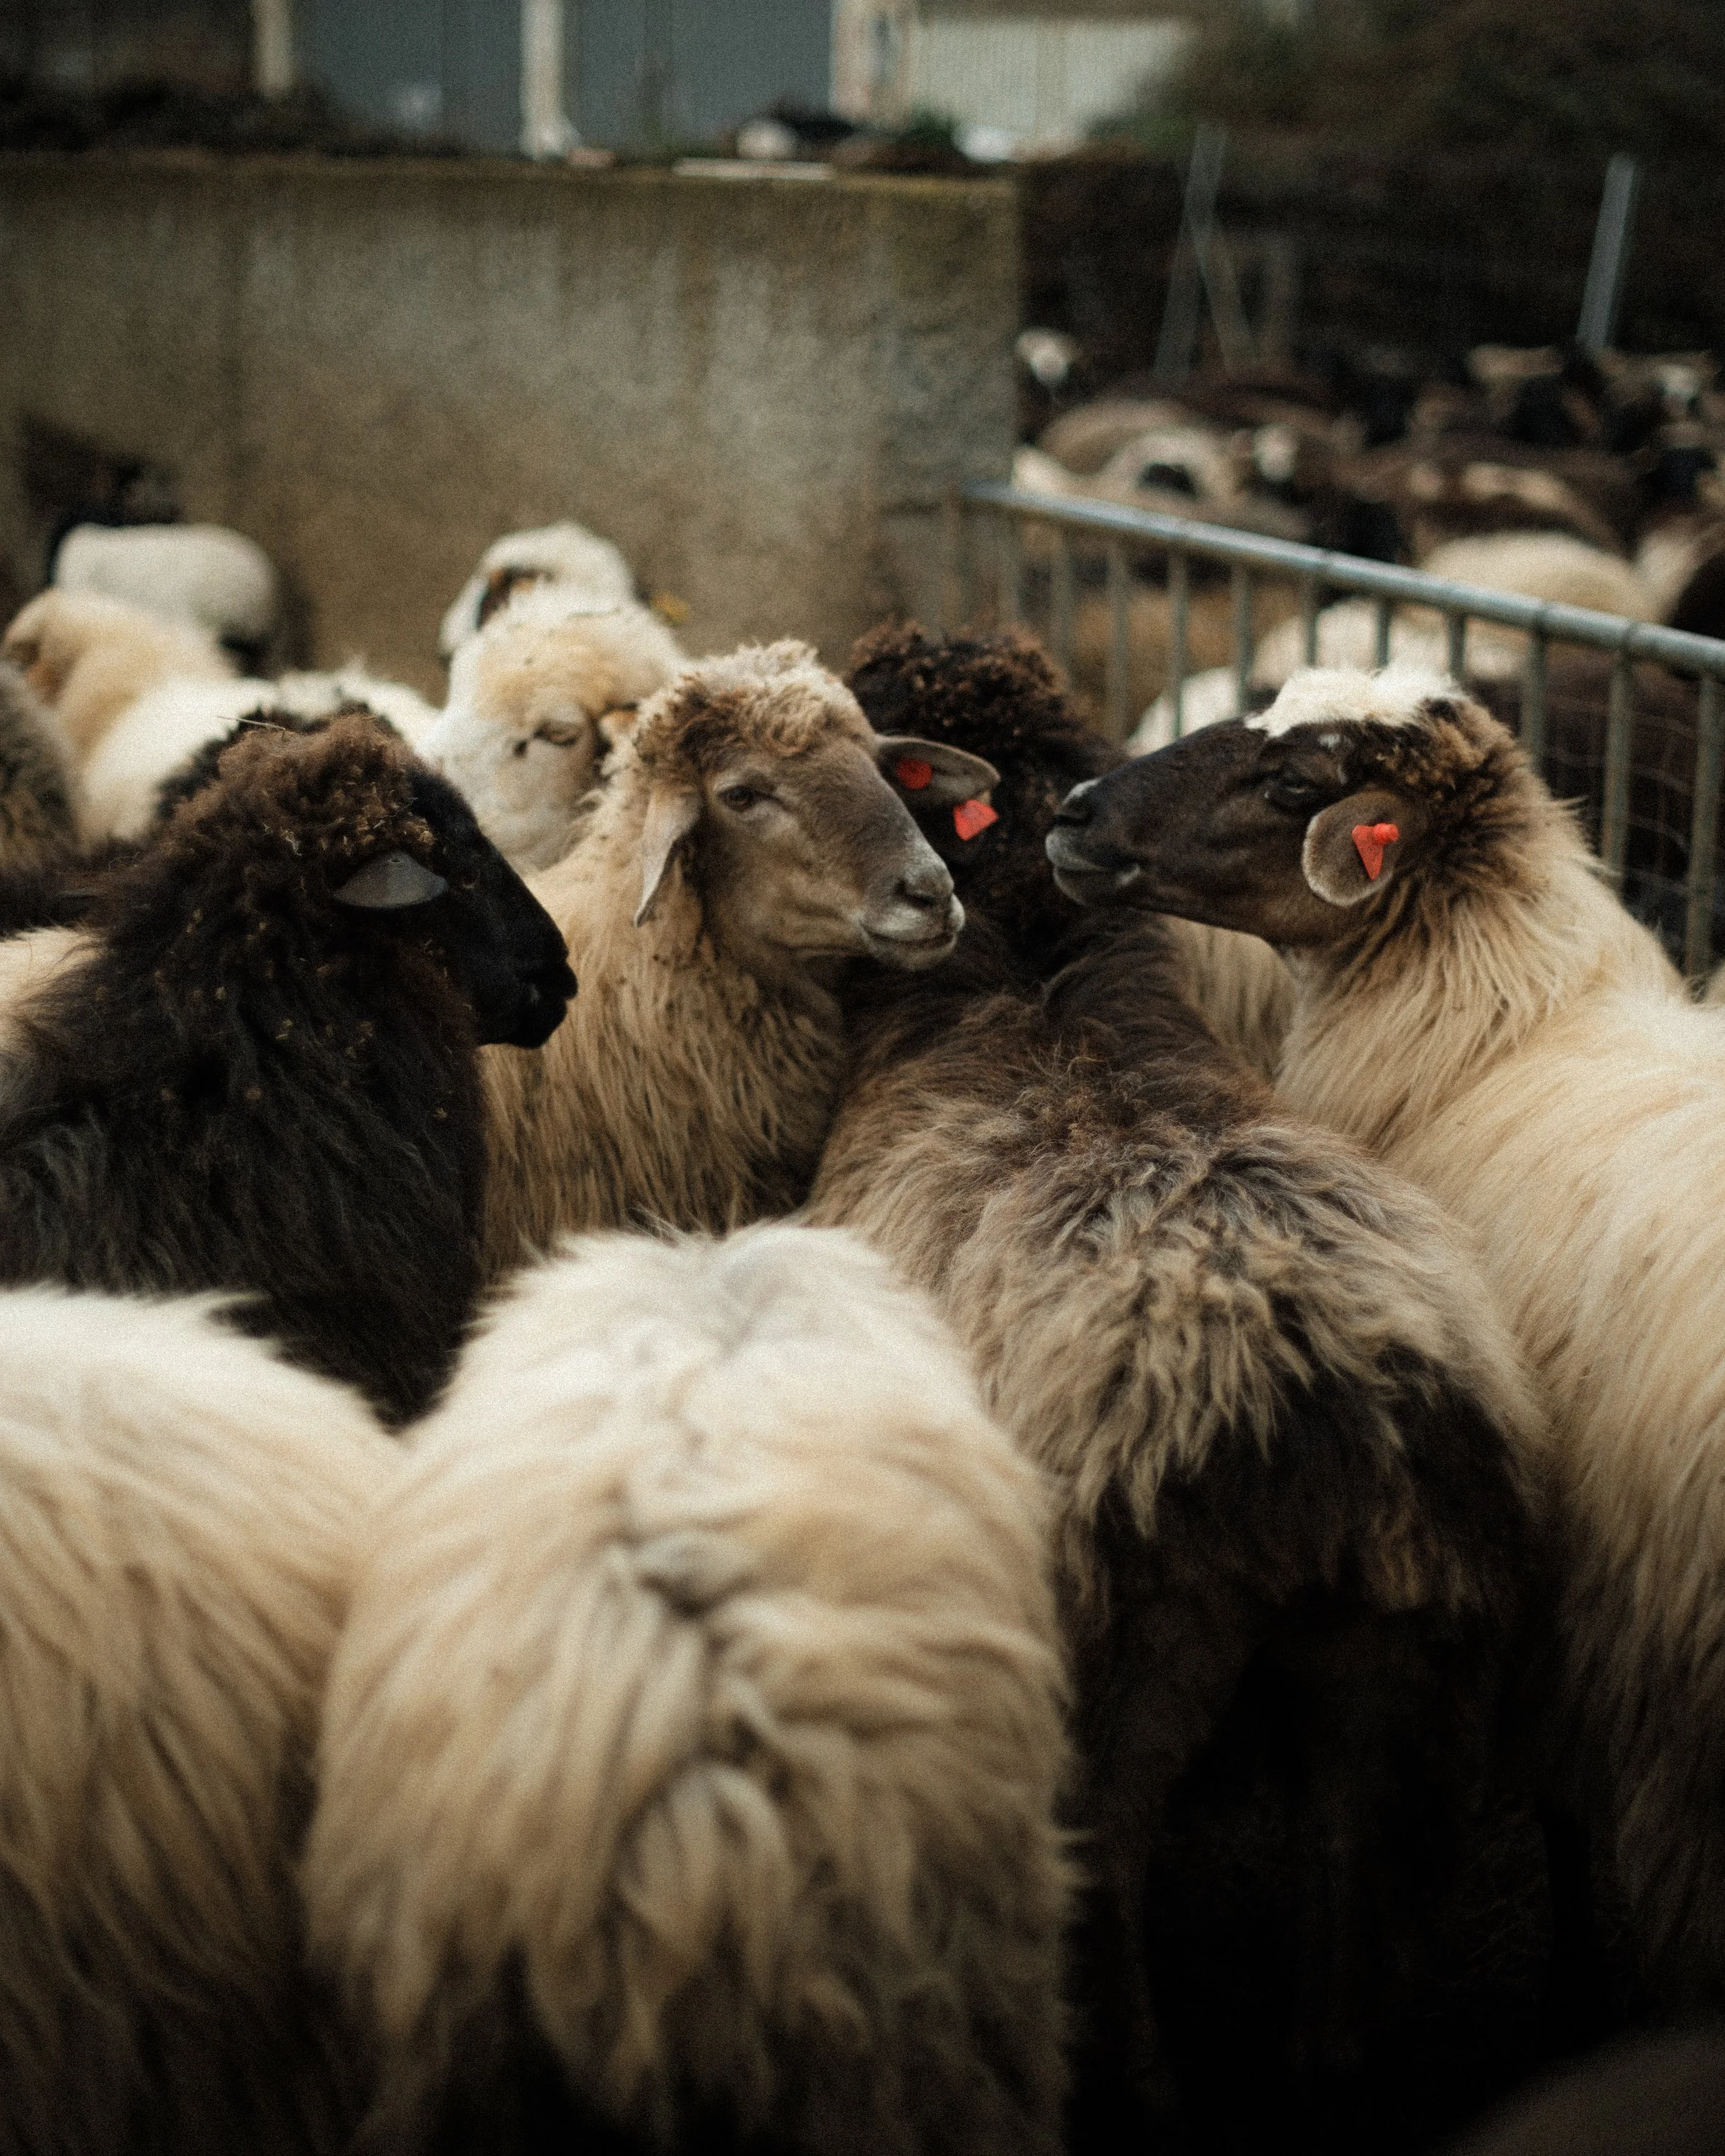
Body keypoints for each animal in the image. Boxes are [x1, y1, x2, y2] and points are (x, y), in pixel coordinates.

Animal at [815, 626, 1543, 2143]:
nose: (1088, 812)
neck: (1035, 989)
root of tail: (1308, 1400)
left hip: (1118, 1660)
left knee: (1102, 1872)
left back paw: (1133, 2089)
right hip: (1406, 1657)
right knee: (1349, 1883)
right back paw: (1328, 2072)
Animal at [1045, 665, 1725, 2006]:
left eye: (1295, 784)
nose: (1077, 811)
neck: (1497, 1023)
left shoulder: (1589, 1599)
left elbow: (1566, 1813)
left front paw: (1578, 1970)